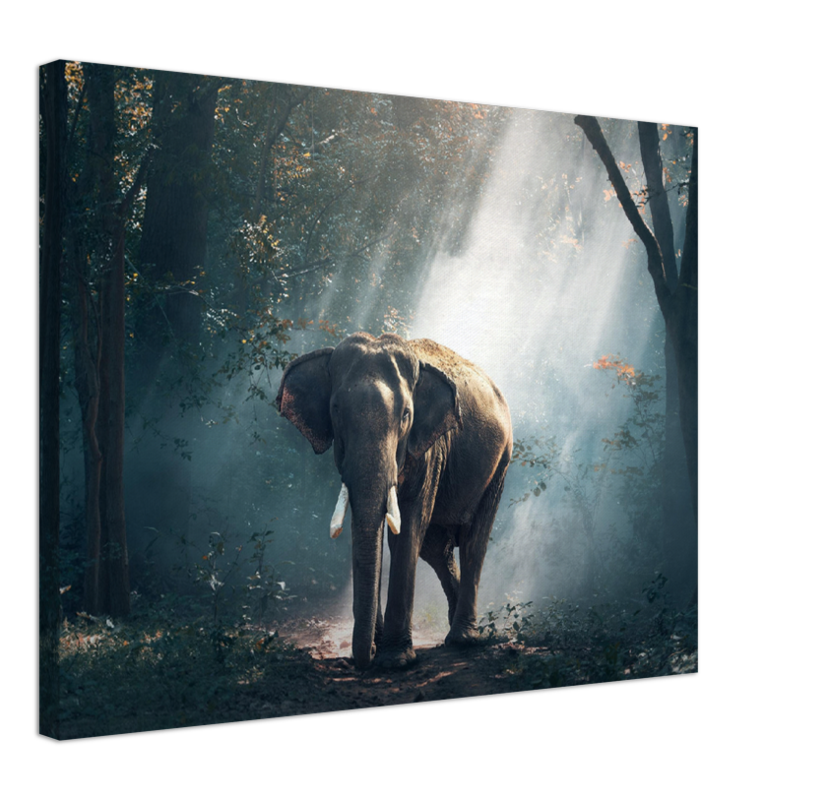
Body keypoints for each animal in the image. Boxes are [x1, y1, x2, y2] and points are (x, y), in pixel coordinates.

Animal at [277, 332, 512, 669]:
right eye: (336, 410)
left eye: (405, 416)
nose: (364, 657)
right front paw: (378, 647)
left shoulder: (429, 448)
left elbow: (409, 527)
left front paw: (396, 660)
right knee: (436, 549)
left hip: (500, 463)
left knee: (472, 542)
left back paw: (463, 640)